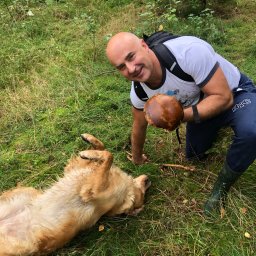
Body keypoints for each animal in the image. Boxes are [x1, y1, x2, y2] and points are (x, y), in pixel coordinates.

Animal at [0, 135, 150, 255]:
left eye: (142, 197)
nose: (149, 179)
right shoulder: (76, 168)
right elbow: (104, 150)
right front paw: (89, 141)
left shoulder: (91, 191)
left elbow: (109, 155)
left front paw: (90, 151)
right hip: (26, 192)